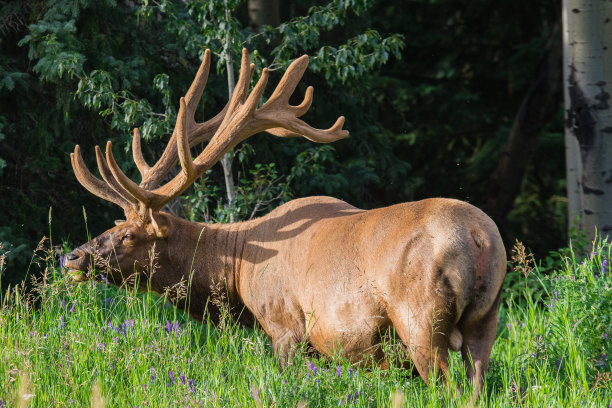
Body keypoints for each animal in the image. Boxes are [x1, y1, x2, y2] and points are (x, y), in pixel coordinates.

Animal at [64, 47, 506, 396]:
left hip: (421, 320)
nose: (72, 257)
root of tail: (479, 238)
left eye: (128, 235)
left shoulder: (285, 327)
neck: (239, 270)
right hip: (486, 320)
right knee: (477, 385)